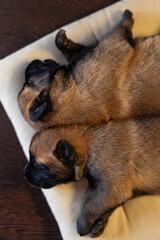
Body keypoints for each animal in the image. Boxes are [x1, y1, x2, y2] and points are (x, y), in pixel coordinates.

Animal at [18, 8, 160, 129]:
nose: (30, 65)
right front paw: (127, 15)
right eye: (28, 83)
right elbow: (120, 27)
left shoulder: (82, 54)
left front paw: (61, 40)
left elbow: (72, 52)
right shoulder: (114, 44)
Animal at [23, 117, 160, 237]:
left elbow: (90, 204)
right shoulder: (116, 193)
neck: (88, 145)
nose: (24, 173)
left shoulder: (112, 189)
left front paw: (83, 224)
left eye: (37, 164)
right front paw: (100, 224)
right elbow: (104, 205)